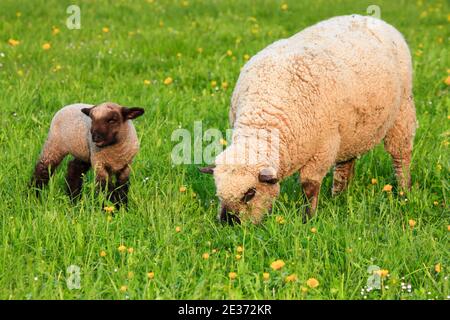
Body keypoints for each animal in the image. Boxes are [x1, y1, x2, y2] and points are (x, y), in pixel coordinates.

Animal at [201, 15, 418, 225]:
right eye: (219, 193)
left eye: (250, 193)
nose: (228, 223)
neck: (263, 117)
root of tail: (376, 20)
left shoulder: (322, 149)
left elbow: (309, 186)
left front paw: (308, 219)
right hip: (350, 131)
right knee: (345, 164)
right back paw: (338, 196)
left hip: (402, 111)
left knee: (400, 156)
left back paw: (404, 192)